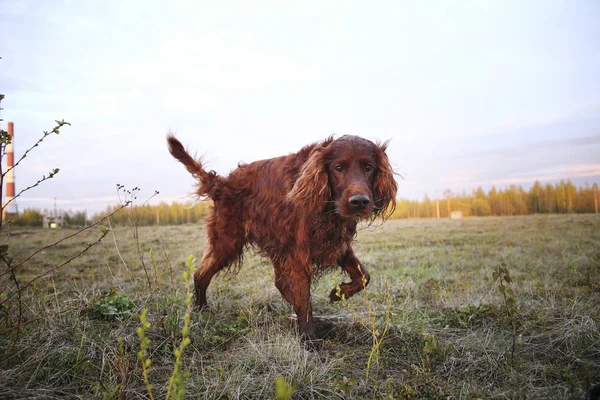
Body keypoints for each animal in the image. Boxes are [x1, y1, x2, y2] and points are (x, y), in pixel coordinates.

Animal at [166, 134, 396, 344]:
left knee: (279, 282)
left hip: (275, 244)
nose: (360, 202)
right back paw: (202, 310)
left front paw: (338, 294)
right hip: (228, 242)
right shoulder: (300, 251)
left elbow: (364, 276)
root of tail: (222, 182)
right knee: (201, 275)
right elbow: (304, 299)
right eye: (338, 168)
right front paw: (309, 340)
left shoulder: (335, 243)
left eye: (369, 167)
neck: (325, 208)